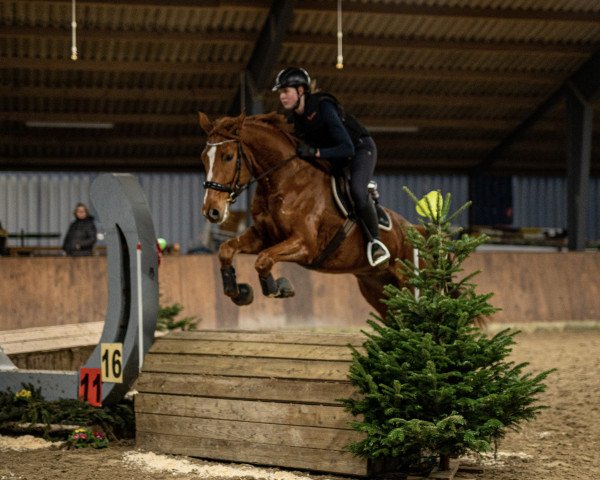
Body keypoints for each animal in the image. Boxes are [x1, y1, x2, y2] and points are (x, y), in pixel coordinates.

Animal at [199, 110, 414, 316]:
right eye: (204, 157)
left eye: (228, 156)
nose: (212, 211)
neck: (283, 182)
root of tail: (416, 230)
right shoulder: (264, 236)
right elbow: (226, 249)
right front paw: (239, 292)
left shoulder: (305, 244)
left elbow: (263, 260)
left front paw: (278, 288)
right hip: (377, 289)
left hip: (409, 282)